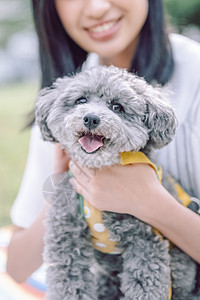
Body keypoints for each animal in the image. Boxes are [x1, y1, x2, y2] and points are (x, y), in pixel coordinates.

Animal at [35, 66, 198, 300]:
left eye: (117, 107)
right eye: (81, 100)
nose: (91, 118)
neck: (99, 168)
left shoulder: (145, 240)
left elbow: (146, 285)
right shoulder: (66, 234)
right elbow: (69, 283)